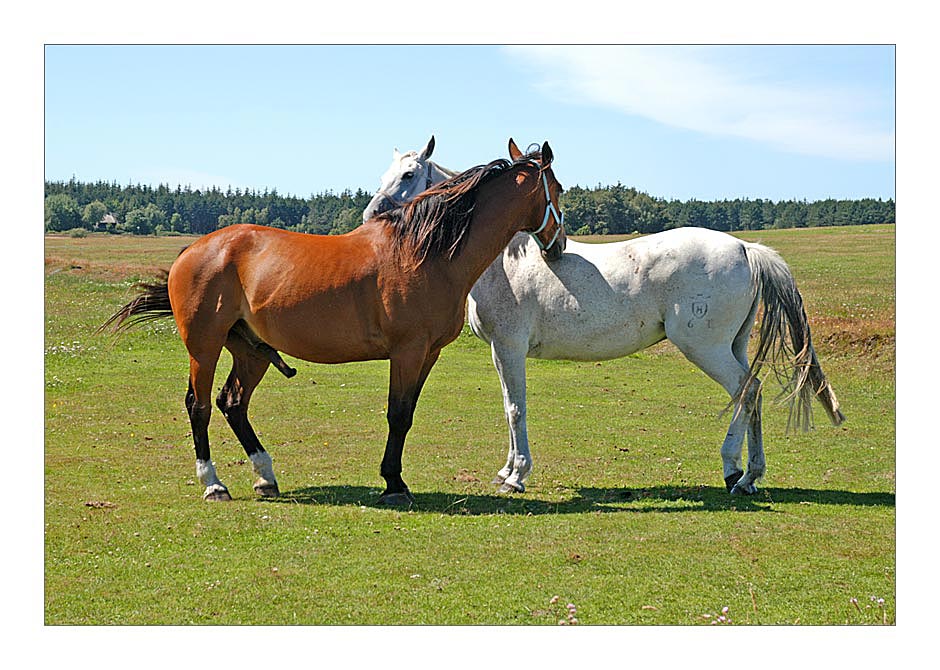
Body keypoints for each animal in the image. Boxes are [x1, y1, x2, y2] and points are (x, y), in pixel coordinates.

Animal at [101, 143, 564, 510]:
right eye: (558, 190)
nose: (558, 244)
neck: (424, 252)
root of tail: (193, 250)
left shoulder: (427, 354)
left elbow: (408, 414)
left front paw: (394, 478)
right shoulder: (408, 351)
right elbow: (398, 415)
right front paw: (393, 483)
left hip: (250, 351)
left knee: (233, 403)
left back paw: (265, 476)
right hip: (205, 346)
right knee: (198, 406)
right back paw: (213, 483)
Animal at [362, 138, 844, 494]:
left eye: (408, 175)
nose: (370, 215)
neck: (503, 259)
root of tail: (745, 247)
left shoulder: (509, 348)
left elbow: (516, 407)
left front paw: (517, 476)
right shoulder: (501, 352)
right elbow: (508, 405)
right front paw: (507, 470)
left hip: (706, 348)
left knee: (748, 390)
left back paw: (735, 472)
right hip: (733, 346)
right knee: (753, 394)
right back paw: (746, 476)